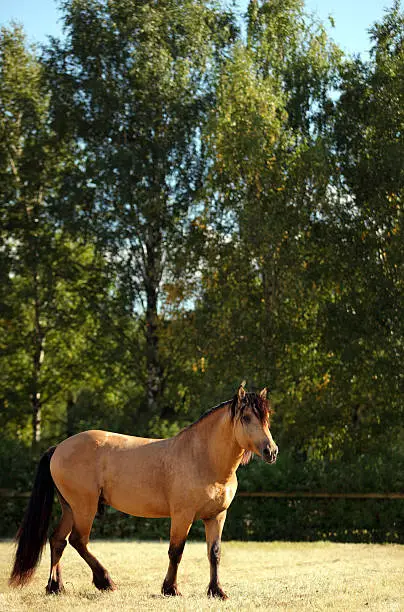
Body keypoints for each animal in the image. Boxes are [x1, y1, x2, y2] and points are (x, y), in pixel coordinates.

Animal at [9, 382, 278, 596]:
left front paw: (217, 591)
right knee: (78, 540)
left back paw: (56, 587)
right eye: (246, 418)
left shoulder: (216, 516)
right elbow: (176, 551)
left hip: (70, 508)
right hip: (84, 507)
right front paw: (171, 589)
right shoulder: (182, 516)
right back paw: (105, 581)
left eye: (266, 419)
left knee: (58, 540)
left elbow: (214, 553)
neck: (202, 458)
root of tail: (59, 448)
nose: (271, 451)